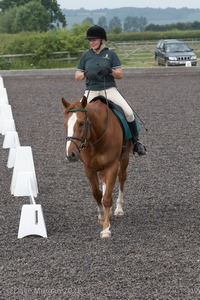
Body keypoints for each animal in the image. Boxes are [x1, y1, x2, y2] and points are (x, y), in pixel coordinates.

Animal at [61, 95, 132, 238]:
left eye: (81, 123)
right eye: (65, 124)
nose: (71, 155)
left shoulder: (112, 166)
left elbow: (107, 198)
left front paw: (106, 229)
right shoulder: (89, 168)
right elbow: (97, 194)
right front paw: (102, 216)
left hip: (124, 158)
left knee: (122, 178)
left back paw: (119, 209)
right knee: (104, 182)